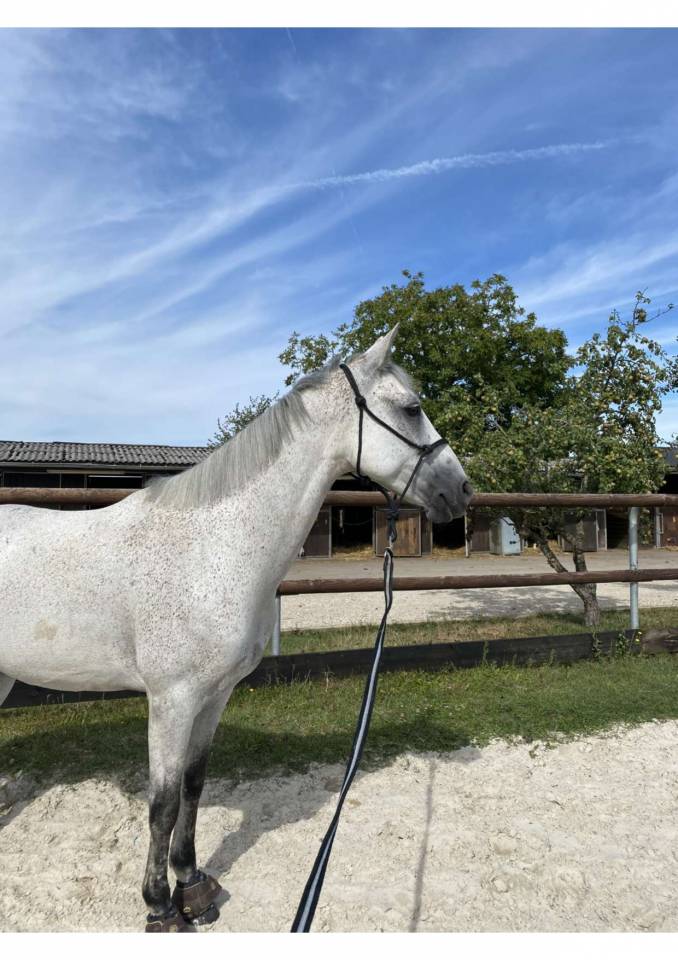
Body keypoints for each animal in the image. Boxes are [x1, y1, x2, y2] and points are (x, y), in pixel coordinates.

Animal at [0, 326, 472, 931]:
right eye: (412, 408)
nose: (461, 491)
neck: (213, 545)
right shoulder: (172, 700)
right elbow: (162, 804)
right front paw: (160, 907)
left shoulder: (214, 695)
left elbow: (194, 787)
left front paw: (193, 886)